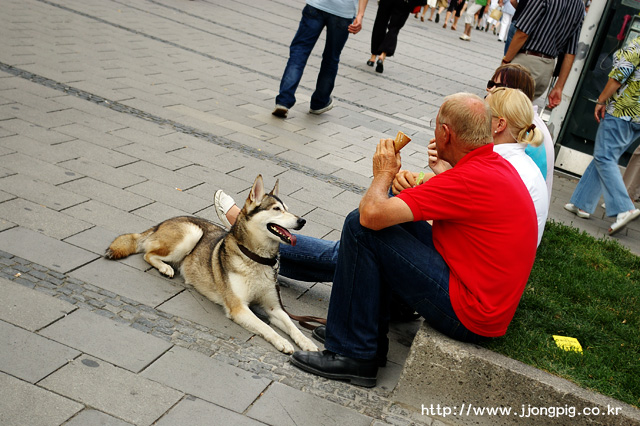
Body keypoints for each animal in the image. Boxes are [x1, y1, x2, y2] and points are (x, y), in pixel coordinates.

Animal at [105, 175, 318, 354]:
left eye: (288, 208)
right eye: (276, 209)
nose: (302, 220)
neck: (257, 259)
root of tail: (160, 224)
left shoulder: (274, 308)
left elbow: (292, 326)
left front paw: (307, 343)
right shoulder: (239, 308)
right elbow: (266, 326)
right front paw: (282, 342)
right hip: (192, 233)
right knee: (148, 254)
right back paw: (165, 267)